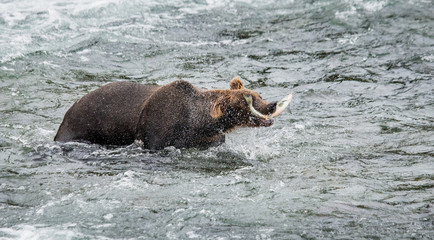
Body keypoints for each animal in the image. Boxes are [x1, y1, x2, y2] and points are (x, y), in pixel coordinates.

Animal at [54, 77, 292, 149]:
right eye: (247, 100)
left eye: (258, 94)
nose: (271, 104)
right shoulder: (156, 129)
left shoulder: (202, 136)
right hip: (81, 126)